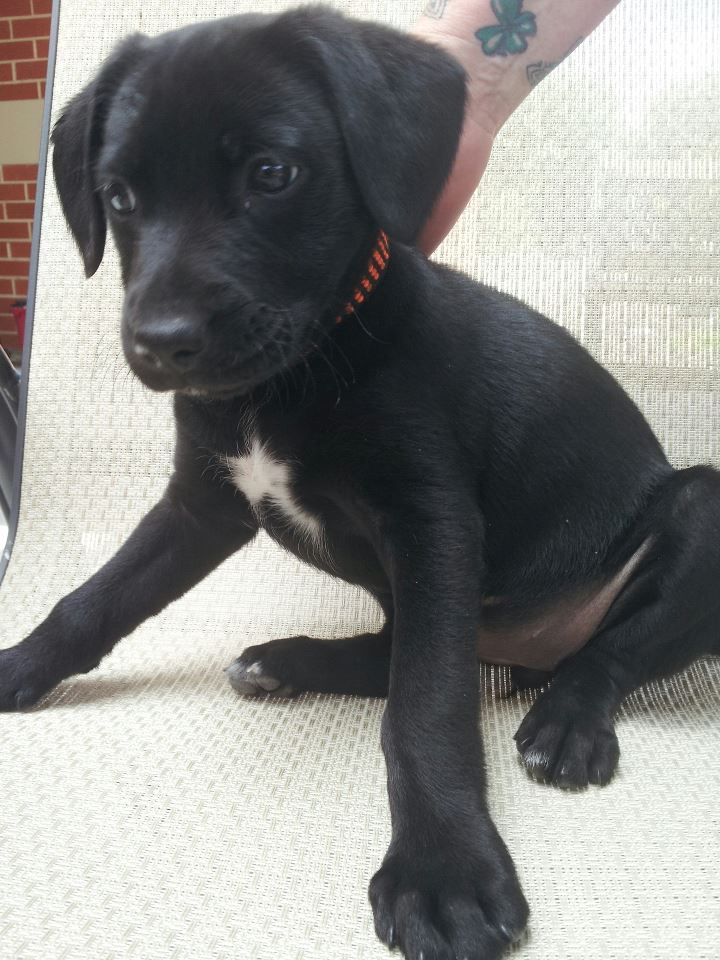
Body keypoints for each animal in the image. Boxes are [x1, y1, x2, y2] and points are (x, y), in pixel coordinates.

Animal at [1, 6, 719, 959]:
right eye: (118, 198)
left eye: (272, 174)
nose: (160, 345)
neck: (285, 382)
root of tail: (528, 656)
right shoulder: (201, 504)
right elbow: (94, 600)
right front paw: (18, 665)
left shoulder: (432, 525)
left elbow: (427, 707)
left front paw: (442, 871)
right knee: (402, 654)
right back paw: (284, 660)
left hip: (699, 512)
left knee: (600, 654)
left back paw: (568, 721)